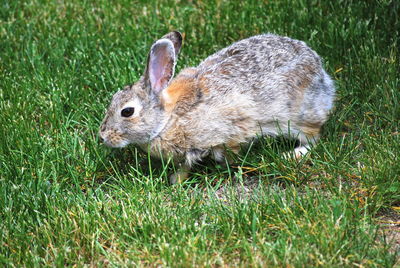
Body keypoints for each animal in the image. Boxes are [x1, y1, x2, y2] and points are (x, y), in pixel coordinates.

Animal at [100, 30, 334, 182]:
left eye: (127, 112)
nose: (102, 137)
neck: (167, 118)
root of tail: (321, 74)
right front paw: (176, 180)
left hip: (296, 116)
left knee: (313, 137)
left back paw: (292, 154)